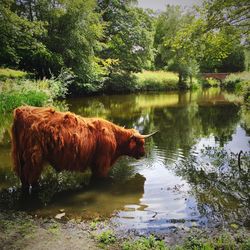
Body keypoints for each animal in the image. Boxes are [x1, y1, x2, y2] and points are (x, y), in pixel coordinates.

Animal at [12, 105, 156, 188]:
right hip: (34, 158)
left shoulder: (95, 163)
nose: (144, 153)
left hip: (21, 157)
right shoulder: (102, 162)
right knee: (30, 178)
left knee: (24, 178)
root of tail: (20, 110)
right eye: (141, 143)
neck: (115, 137)